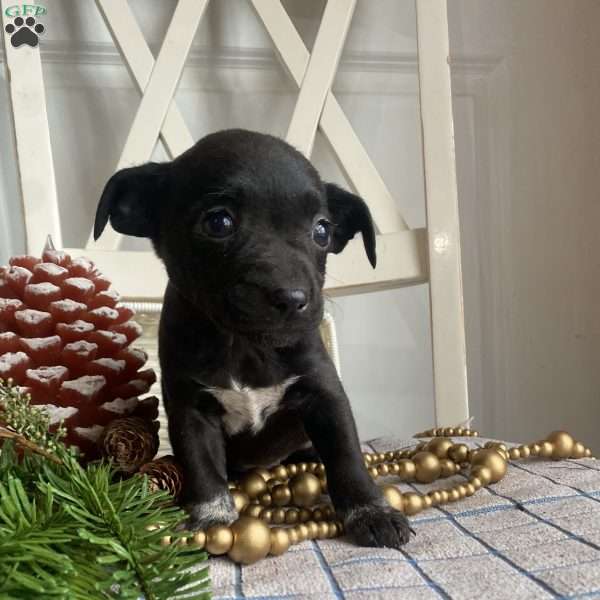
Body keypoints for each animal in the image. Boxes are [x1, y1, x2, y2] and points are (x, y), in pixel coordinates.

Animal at [95, 129, 412, 548]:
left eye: (322, 231)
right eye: (218, 222)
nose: (292, 298)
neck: (247, 346)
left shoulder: (325, 393)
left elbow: (347, 457)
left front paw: (371, 510)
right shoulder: (191, 409)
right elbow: (202, 466)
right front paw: (212, 518)